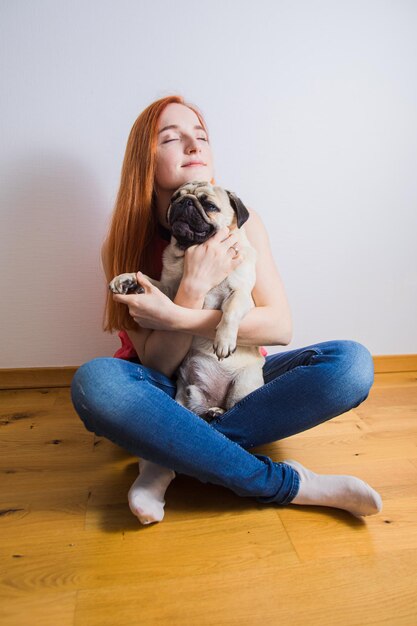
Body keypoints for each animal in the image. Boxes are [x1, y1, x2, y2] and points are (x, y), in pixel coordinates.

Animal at [107, 180, 264, 420]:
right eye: (174, 199)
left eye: (209, 206)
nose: (185, 202)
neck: (189, 252)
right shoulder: (169, 291)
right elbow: (148, 280)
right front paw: (127, 280)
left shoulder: (240, 294)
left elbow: (231, 311)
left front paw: (224, 340)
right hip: (186, 390)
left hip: (243, 384)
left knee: (234, 406)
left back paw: (218, 411)